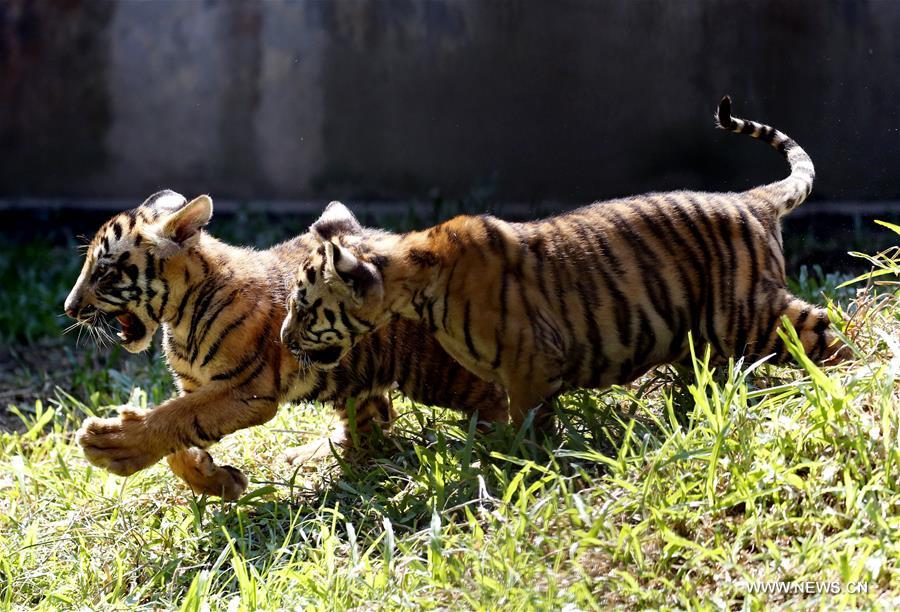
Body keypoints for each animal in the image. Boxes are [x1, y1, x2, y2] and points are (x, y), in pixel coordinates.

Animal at [65, 190, 507, 500]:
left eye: (103, 272)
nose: (69, 308)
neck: (181, 315)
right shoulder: (195, 387)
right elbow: (177, 439)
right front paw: (219, 482)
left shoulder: (246, 389)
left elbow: (175, 418)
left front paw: (110, 445)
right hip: (355, 376)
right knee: (375, 421)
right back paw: (313, 456)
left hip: (436, 371)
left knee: (493, 398)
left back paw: (501, 447)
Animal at [280, 96, 851, 427]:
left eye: (305, 309)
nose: (284, 340)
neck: (413, 285)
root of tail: (752, 199)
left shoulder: (530, 366)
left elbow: (522, 433)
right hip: (705, 331)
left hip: (744, 313)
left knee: (825, 326)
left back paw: (849, 381)